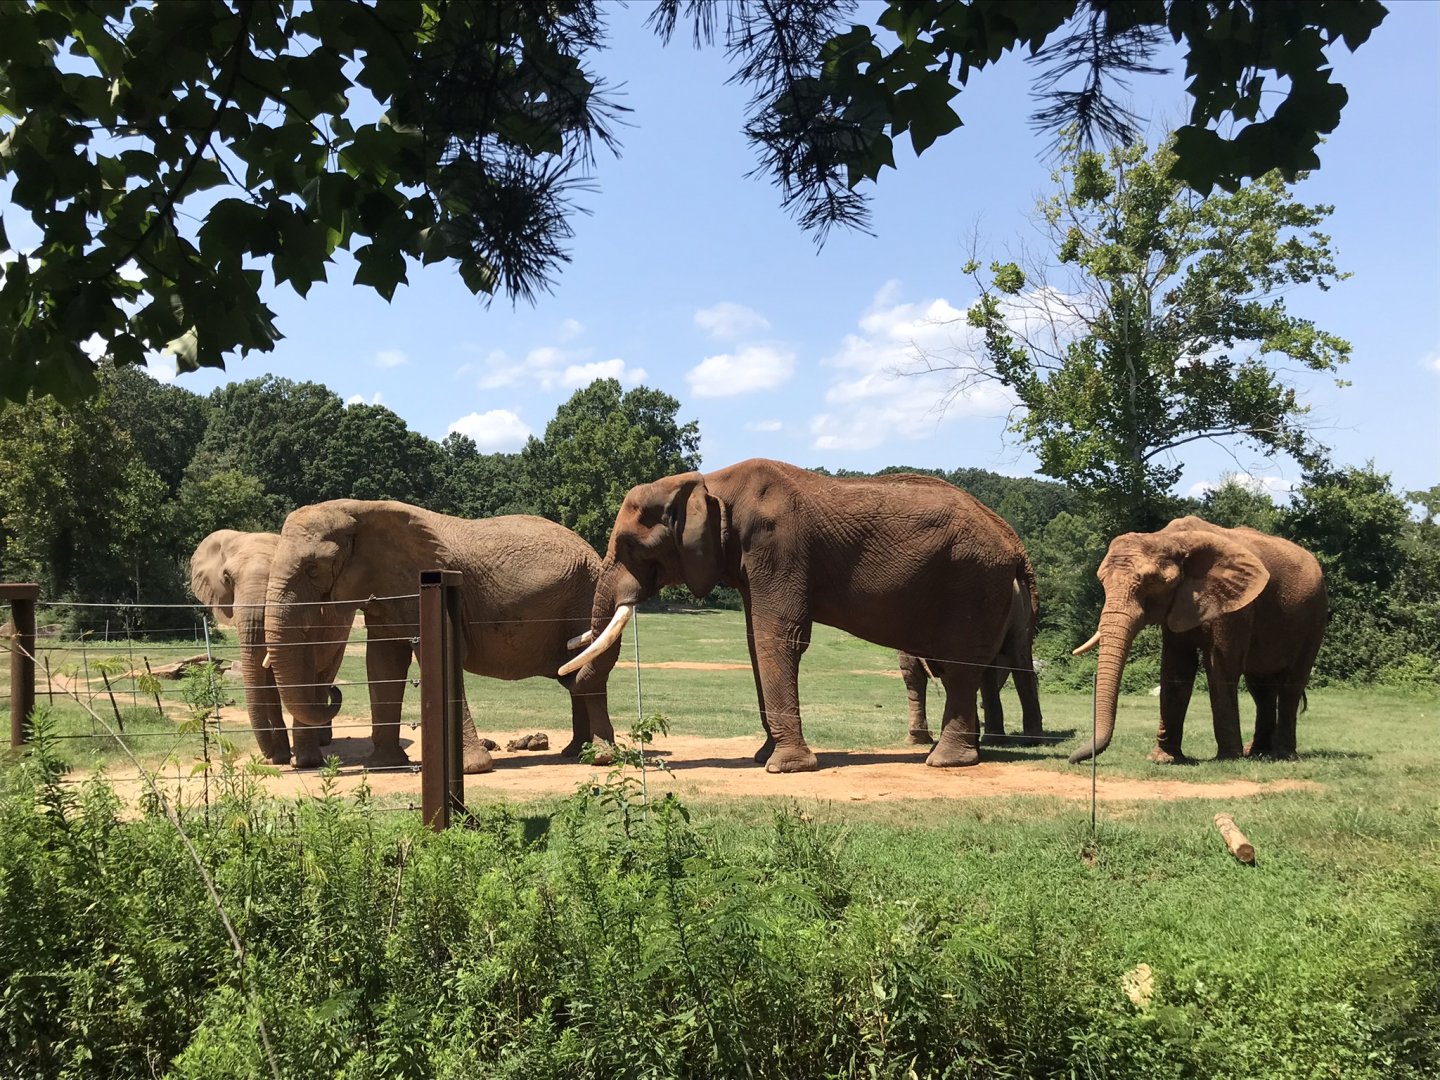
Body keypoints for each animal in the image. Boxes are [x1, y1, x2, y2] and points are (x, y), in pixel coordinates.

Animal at [189, 529, 348, 765]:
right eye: (227, 578)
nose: (267, 755)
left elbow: (305, 669)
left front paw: (305, 762)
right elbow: (268, 682)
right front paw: (280, 758)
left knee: (325, 675)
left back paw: (322, 740)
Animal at [264, 500, 621, 771]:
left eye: (313, 569)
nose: (333, 692)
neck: (357, 510)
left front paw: (473, 768)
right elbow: (383, 664)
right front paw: (385, 764)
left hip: (585, 595)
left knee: (588, 673)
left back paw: (598, 757)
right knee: (576, 675)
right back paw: (574, 752)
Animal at [1068, 516, 1327, 764]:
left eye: (1150, 582)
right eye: (1102, 581)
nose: (1073, 758)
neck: (1169, 538)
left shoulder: (1234, 605)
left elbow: (1221, 668)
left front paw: (1228, 758)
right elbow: (1176, 668)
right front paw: (1163, 758)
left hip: (1315, 617)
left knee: (1291, 684)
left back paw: (1282, 755)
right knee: (1260, 687)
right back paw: (1257, 753)